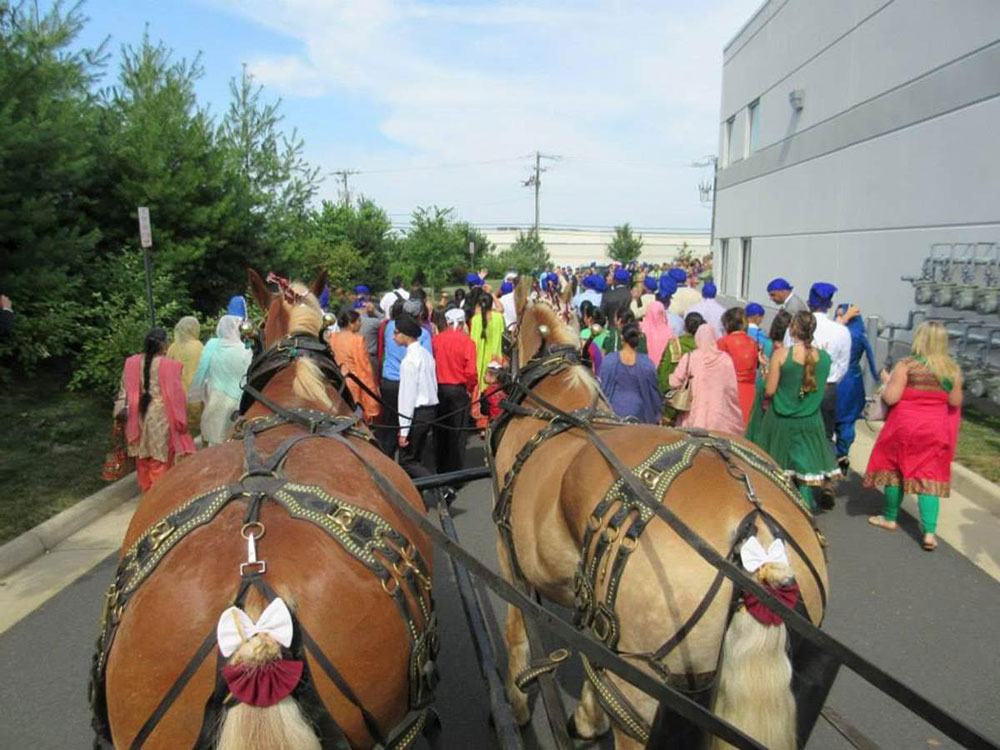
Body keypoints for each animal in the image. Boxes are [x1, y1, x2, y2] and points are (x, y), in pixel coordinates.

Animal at [492, 292, 828, 750]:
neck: (553, 398)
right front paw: (588, 717)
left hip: (643, 684)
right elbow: (590, 651)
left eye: (507, 338)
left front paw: (518, 704)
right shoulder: (594, 597)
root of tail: (755, 528)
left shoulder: (508, 552)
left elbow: (517, 633)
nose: (493, 375)